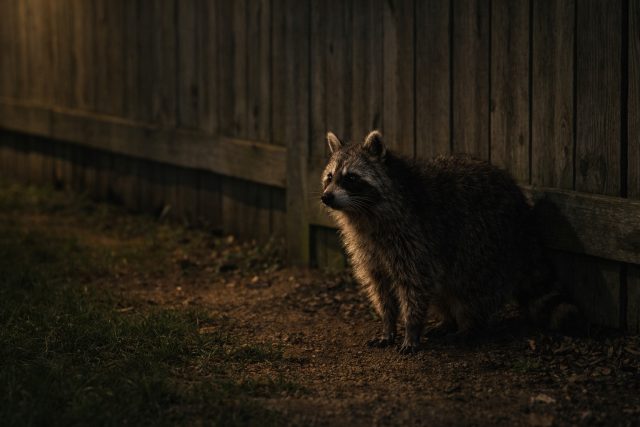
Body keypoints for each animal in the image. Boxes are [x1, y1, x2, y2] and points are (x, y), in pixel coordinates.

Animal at [320, 130, 581, 354]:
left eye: (351, 178)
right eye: (330, 177)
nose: (326, 197)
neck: (363, 214)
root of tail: (523, 213)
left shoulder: (415, 237)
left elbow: (415, 285)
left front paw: (411, 329)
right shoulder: (367, 248)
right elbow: (380, 287)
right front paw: (388, 325)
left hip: (486, 244)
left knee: (471, 289)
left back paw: (468, 326)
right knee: (442, 288)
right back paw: (448, 320)